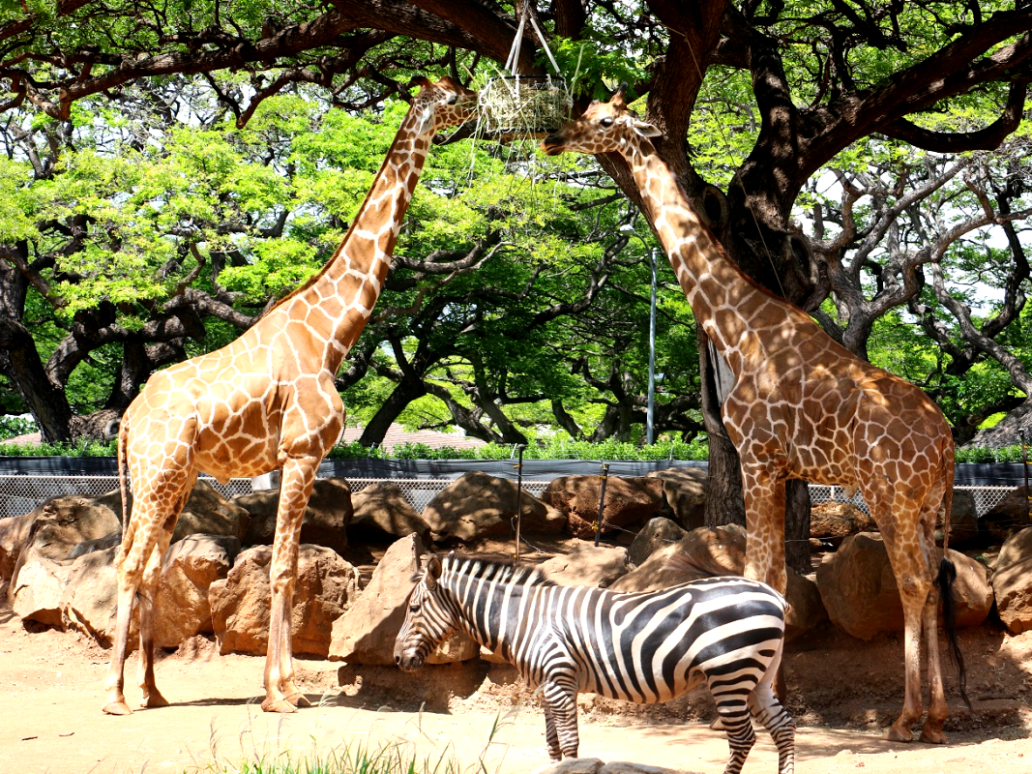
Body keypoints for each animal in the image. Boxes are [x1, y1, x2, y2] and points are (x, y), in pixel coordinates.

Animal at [103, 75, 474, 718]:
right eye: (450, 93)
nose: (477, 99)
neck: (330, 336)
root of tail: (128, 418)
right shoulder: (302, 453)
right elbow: (280, 568)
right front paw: (281, 692)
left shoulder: (296, 459)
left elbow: (290, 563)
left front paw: (285, 685)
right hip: (156, 474)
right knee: (128, 565)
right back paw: (118, 696)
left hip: (174, 479)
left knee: (148, 566)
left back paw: (153, 690)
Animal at [394, 553, 796, 771]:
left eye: (413, 609)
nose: (397, 659)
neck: (523, 619)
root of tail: (773, 594)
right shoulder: (548, 686)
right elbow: (552, 743)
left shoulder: (559, 680)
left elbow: (570, 744)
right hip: (758, 675)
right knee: (783, 727)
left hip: (729, 672)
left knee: (743, 739)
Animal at [544, 89, 961, 747]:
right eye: (584, 114)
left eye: (604, 122)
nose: (552, 138)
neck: (738, 329)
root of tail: (946, 442)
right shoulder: (784, 468)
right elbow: (776, 580)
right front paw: (773, 694)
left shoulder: (759, 457)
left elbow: (761, 575)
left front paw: (755, 706)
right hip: (926, 505)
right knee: (935, 583)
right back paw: (939, 718)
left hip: (889, 493)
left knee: (913, 582)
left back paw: (906, 719)